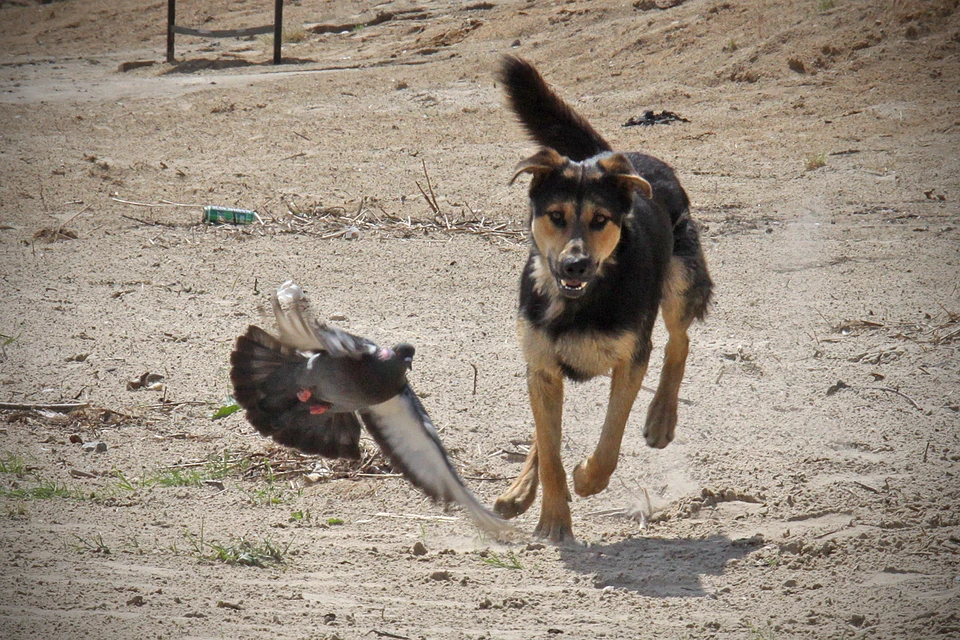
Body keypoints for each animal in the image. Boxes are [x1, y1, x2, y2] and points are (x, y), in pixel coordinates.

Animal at [496, 57, 712, 544]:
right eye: (555, 216)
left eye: (600, 220)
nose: (575, 265)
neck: (580, 301)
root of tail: (620, 158)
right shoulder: (541, 366)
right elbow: (550, 450)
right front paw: (553, 518)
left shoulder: (630, 360)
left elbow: (610, 441)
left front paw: (587, 479)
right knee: (543, 434)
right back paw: (519, 491)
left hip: (679, 281)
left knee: (679, 341)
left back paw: (661, 417)